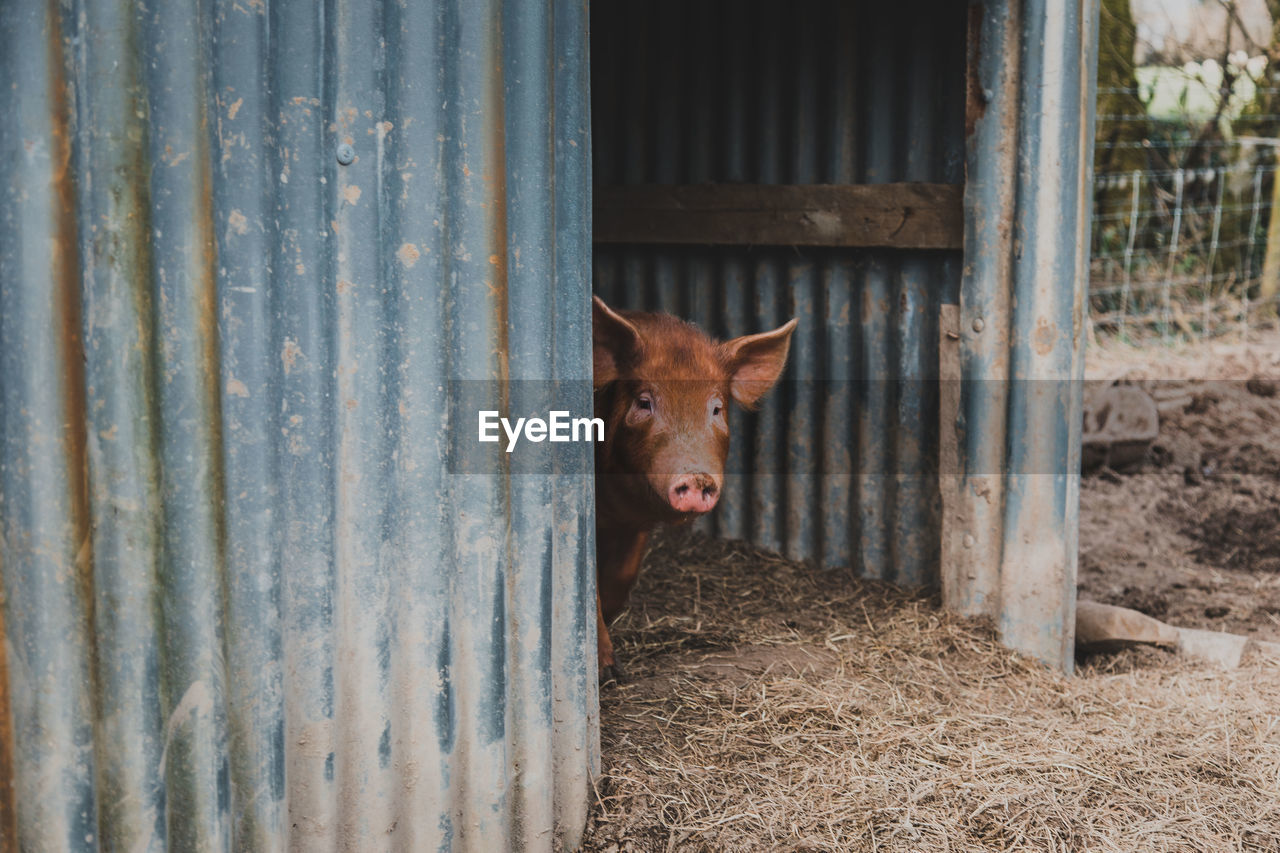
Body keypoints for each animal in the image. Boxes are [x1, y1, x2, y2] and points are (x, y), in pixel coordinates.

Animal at [591, 295, 793, 681]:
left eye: (715, 408)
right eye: (644, 402)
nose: (697, 478)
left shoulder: (635, 523)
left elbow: (621, 577)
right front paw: (609, 673)